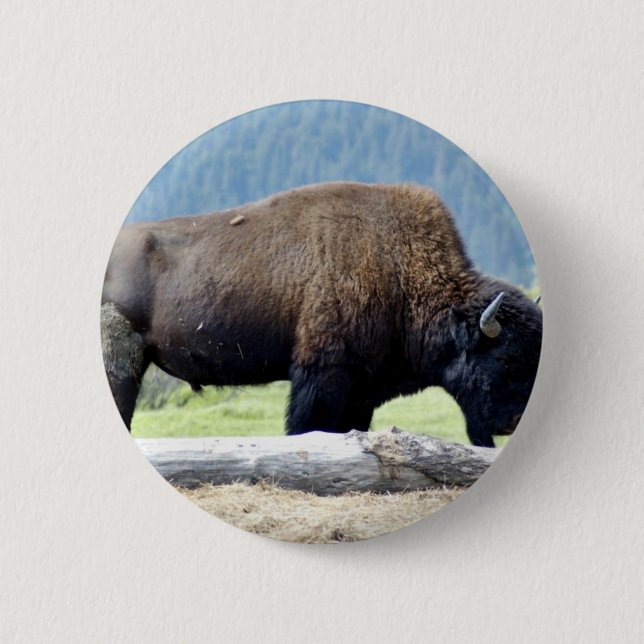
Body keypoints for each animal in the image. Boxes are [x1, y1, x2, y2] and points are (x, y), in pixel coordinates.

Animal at [101, 182, 542, 447]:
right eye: (506, 361)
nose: (514, 422)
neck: (401, 269)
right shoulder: (323, 372)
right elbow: (309, 426)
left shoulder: (363, 389)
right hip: (122, 360)